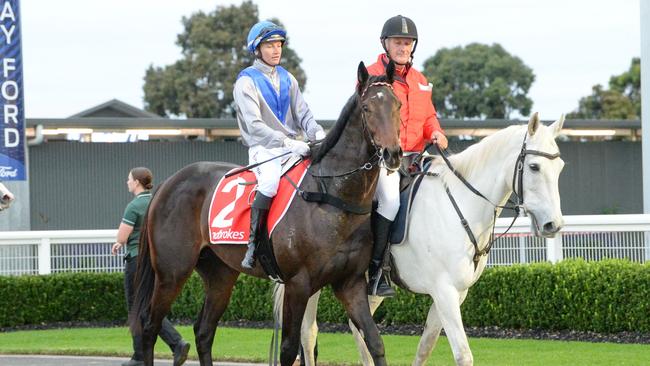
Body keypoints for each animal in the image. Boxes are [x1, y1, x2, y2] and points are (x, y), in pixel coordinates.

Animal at [130, 61, 402, 364]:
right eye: (367, 107)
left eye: (398, 105)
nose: (393, 154)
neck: (332, 198)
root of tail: (167, 183)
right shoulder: (298, 284)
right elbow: (289, 349)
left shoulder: (350, 284)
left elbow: (375, 342)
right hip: (172, 272)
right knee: (150, 325)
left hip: (219, 274)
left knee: (204, 330)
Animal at [272, 114, 560, 366]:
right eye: (534, 167)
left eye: (560, 169)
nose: (553, 225)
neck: (460, 203)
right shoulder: (444, 291)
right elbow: (463, 354)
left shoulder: (455, 294)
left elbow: (425, 347)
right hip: (313, 281)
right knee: (308, 332)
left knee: (357, 327)